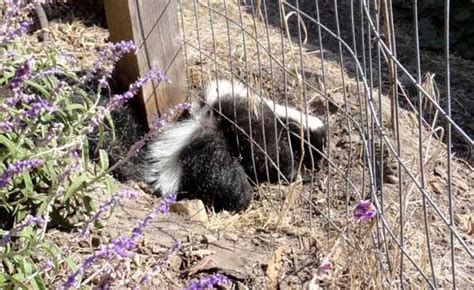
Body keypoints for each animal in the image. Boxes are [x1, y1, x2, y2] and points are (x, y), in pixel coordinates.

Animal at [140, 79, 326, 213]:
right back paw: (243, 200)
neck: (286, 120)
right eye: (315, 150)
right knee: (230, 179)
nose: (319, 165)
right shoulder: (270, 137)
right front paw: (301, 175)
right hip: (220, 152)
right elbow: (280, 162)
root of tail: (206, 120)